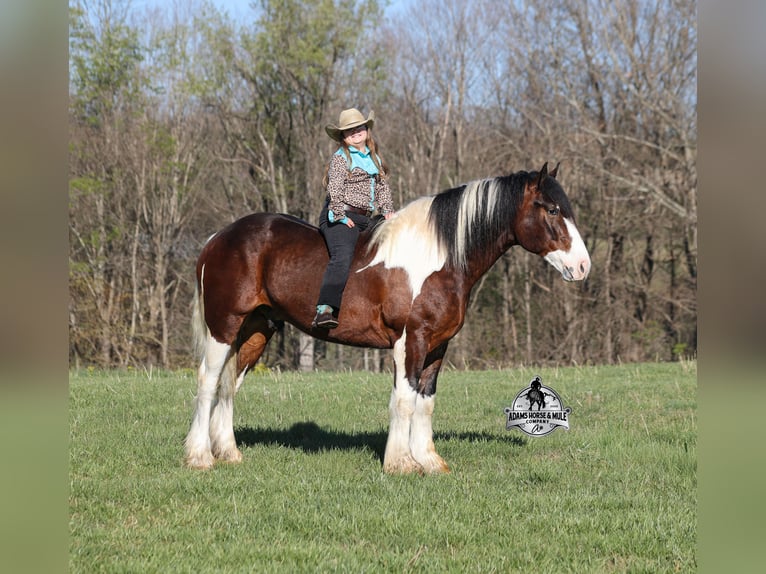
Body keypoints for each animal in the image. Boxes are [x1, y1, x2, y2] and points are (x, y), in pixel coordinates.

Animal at [184, 162, 591, 474]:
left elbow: (425, 401)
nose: (583, 266)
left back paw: (229, 453)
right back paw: (200, 457)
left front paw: (429, 461)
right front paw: (401, 463)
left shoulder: (437, 345)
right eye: (552, 210)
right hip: (224, 327)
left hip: (256, 330)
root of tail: (218, 237)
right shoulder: (410, 341)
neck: (438, 257)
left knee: (229, 385)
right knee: (208, 381)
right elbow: (405, 400)